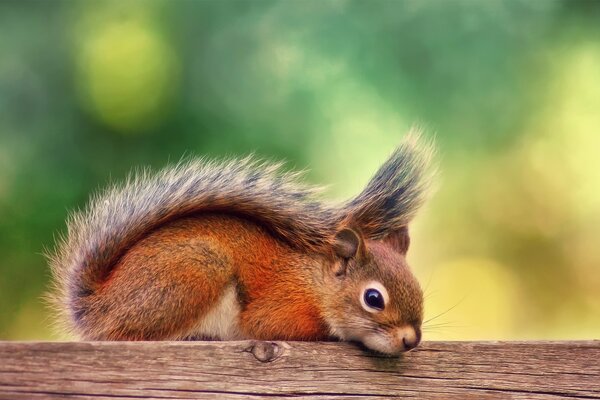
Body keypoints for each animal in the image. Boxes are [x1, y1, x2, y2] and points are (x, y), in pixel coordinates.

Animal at [47, 130, 432, 354]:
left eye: (419, 289)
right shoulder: (279, 311)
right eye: (373, 298)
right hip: (193, 272)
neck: (314, 286)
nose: (411, 340)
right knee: (128, 334)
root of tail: (98, 305)